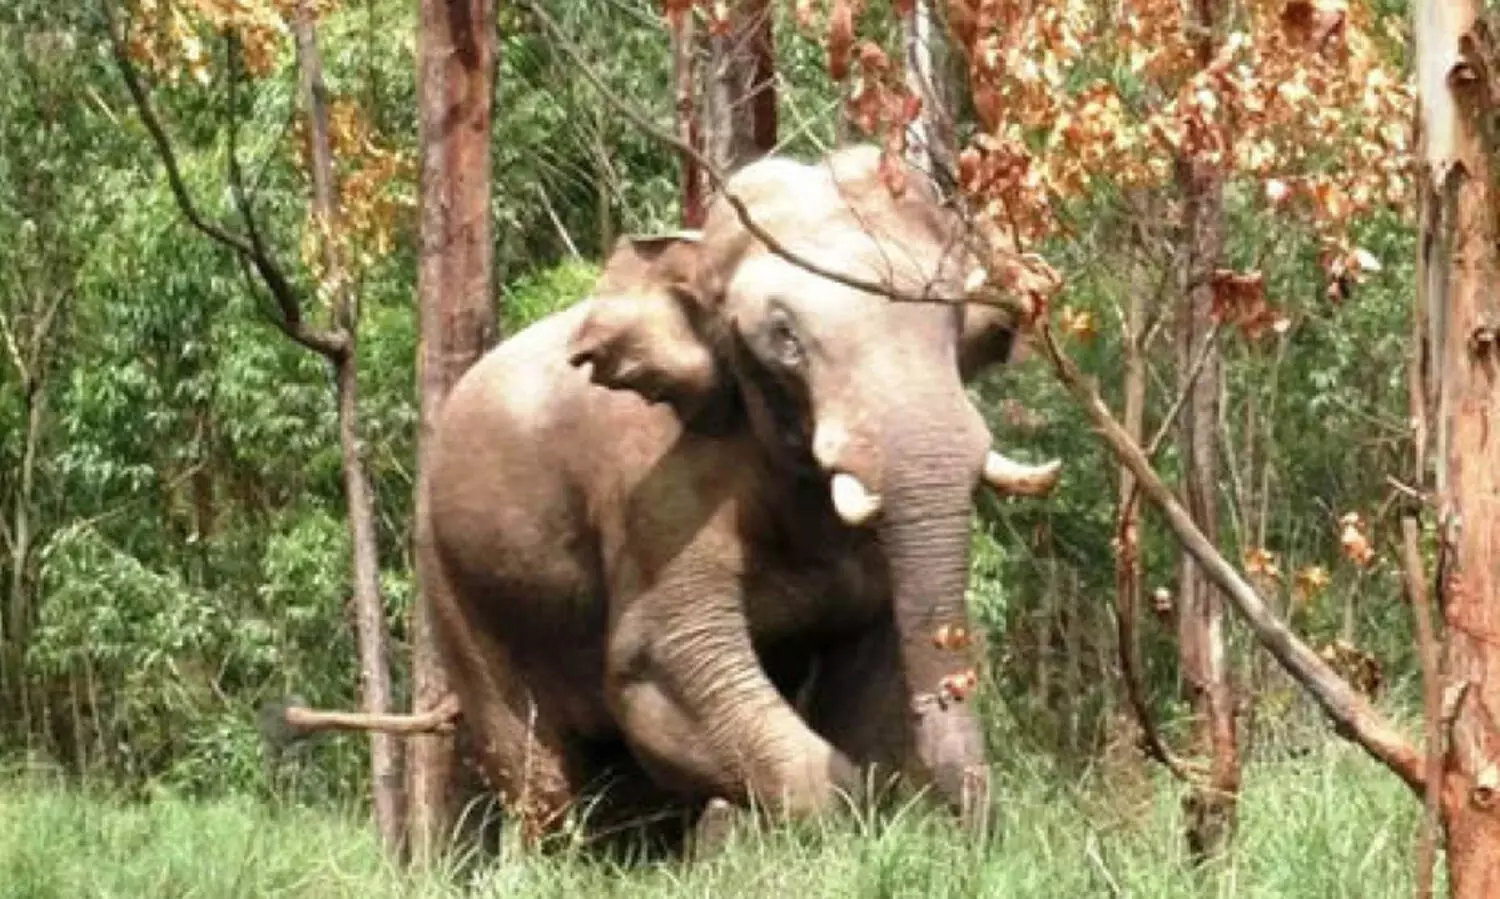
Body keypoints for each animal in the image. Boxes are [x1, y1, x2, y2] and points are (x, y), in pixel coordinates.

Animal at [416, 144, 1060, 847]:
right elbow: (660, 663)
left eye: (952, 318)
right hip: (454, 586)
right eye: (785, 337)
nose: (981, 835)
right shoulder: (659, 492)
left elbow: (871, 655)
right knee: (536, 770)